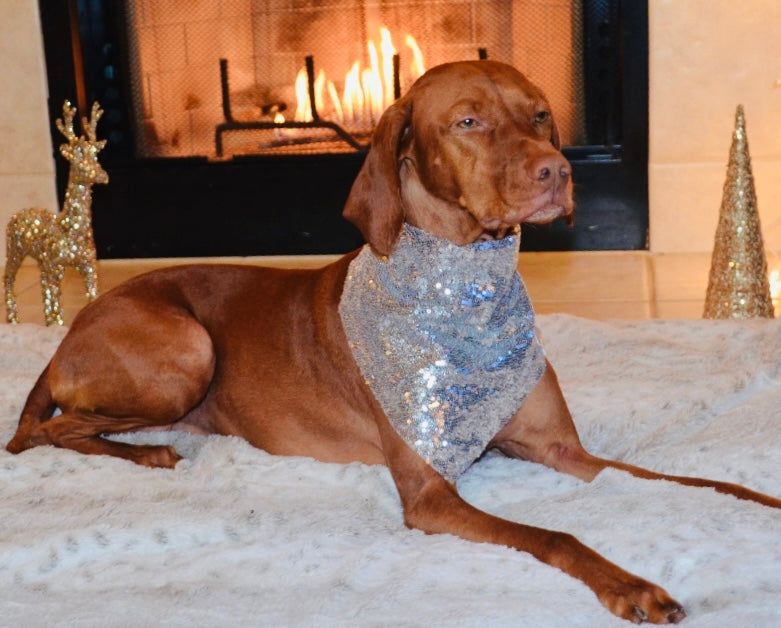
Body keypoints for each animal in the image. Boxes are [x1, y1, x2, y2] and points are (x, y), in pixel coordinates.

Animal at [6, 60, 780, 624]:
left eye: (538, 113)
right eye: (467, 121)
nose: (556, 173)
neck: (465, 291)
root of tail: (71, 329)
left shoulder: (564, 452)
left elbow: (691, 482)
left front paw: (755, 500)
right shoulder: (429, 495)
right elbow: (556, 536)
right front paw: (632, 586)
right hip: (187, 352)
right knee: (46, 433)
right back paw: (150, 454)